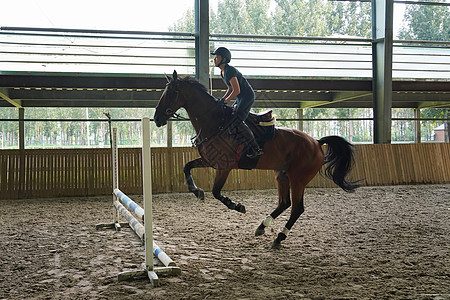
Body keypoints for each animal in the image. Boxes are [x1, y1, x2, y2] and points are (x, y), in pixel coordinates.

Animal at [155, 70, 358, 248]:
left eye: (170, 93)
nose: (157, 118)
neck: (214, 123)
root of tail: (316, 142)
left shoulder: (224, 167)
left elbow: (216, 192)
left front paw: (236, 205)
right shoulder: (210, 161)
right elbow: (186, 167)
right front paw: (196, 191)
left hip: (298, 179)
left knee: (296, 208)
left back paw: (279, 237)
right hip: (282, 175)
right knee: (285, 203)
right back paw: (263, 225)